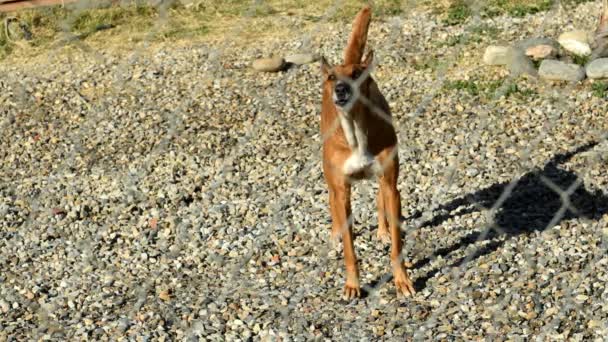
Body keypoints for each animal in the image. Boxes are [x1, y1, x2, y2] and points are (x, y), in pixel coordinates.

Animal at [320, 6, 416, 300]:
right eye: (332, 77)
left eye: (356, 74)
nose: (340, 89)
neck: (354, 132)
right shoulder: (342, 191)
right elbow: (351, 250)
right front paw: (352, 284)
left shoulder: (389, 181)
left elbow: (397, 244)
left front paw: (401, 279)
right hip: (331, 180)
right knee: (332, 203)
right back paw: (334, 236)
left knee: (381, 199)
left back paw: (383, 231)